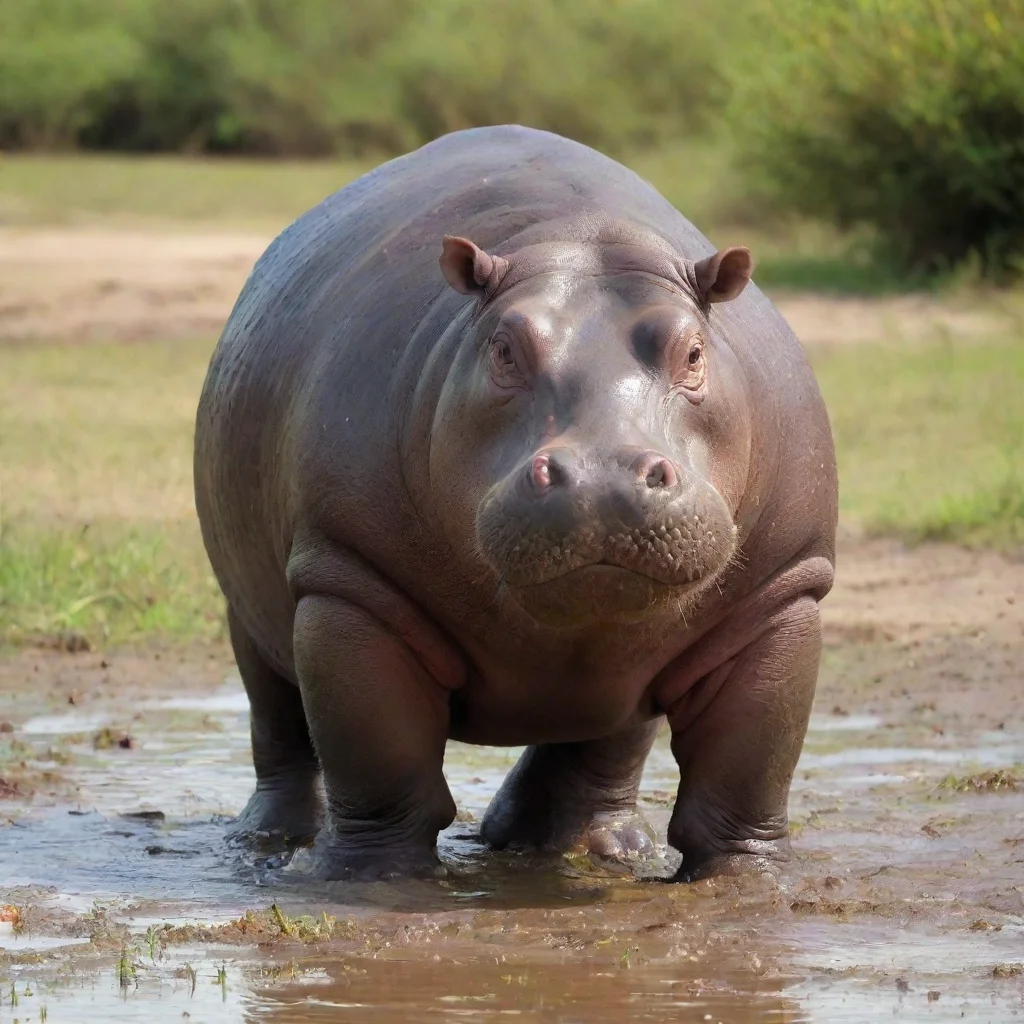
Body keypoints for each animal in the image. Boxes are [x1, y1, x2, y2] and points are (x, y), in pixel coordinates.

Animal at [194, 125, 837, 882]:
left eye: (694, 352)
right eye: (502, 348)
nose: (601, 475)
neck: (580, 237)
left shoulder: (781, 592)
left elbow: (747, 770)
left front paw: (746, 883)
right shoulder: (348, 581)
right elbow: (381, 762)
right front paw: (376, 881)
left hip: (628, 649)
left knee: (604, 740)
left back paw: (590, 848)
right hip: (249, 613)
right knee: (279, 725)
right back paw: (270, 843)